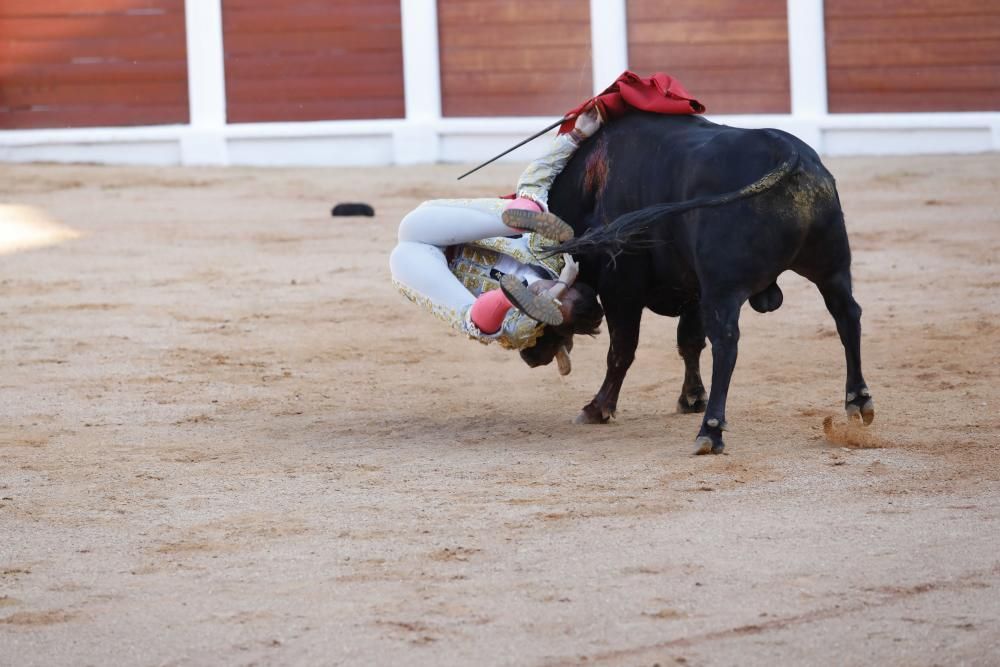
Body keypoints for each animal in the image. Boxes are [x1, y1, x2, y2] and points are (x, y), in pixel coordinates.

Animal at [528, 113, 872, 454]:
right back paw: (858, 400)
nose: (531, 357)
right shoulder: (693, 287)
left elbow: (622, 349)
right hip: (832, 268)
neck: (590, 191)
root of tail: (787, 152)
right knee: (847, 315)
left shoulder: (621, 287)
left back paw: (710, 430)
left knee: (726, 342)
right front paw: (691, 397)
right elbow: (690, 341)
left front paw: (597, 408)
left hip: (725, 290)